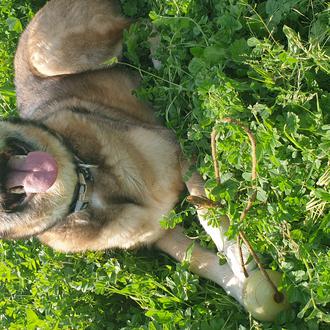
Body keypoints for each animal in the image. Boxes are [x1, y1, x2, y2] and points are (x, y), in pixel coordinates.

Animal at [0, 0, 255, 312]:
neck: (87, 188)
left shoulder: (175, 149)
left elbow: (208, 215)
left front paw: (241, 260)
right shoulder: (161, 233)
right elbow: (201, 263)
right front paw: (247, 288)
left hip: (56, 55)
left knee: (142, 22)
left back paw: (160, 59)